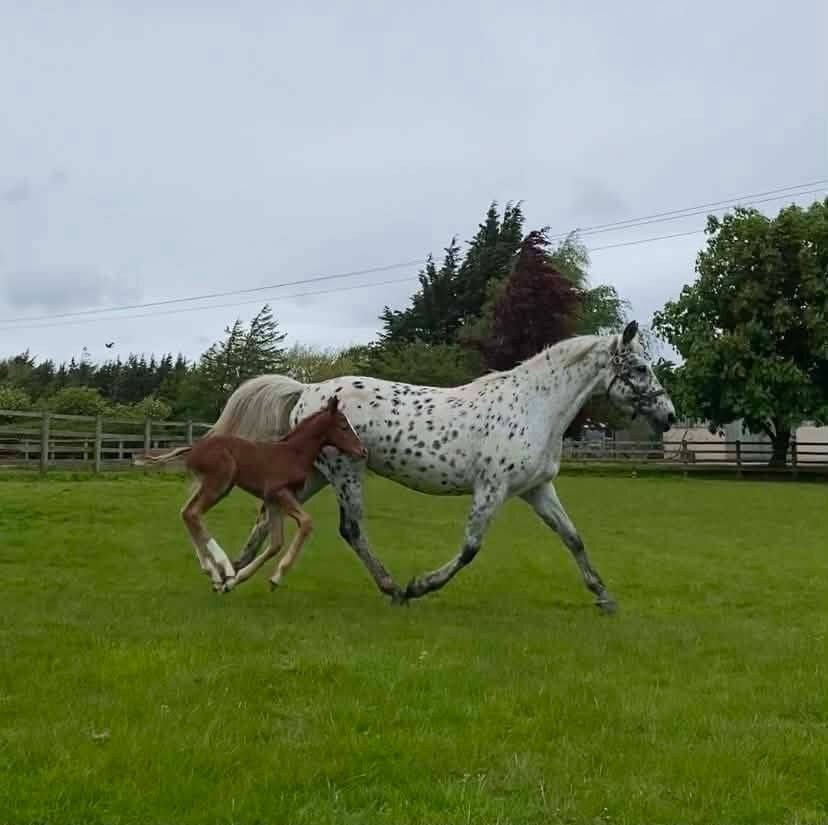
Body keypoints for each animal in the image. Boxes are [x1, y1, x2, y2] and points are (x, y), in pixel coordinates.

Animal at [135, 396, 366, 591]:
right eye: (343, 426)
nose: (362, 451)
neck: (293, 453)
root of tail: (193, 449)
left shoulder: (273, 501)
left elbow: (276, 543)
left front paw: (237, 581)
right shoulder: (279, 492)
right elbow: (306, 523)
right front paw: (275, 578)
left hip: (218, 487)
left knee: (186, 513)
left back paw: (214, 575)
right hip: (219, 483)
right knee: (193, 513)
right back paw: (224, 569)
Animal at [207, 320, 675, 611]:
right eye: (639, 367)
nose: (669, 416)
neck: (533, 407)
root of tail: (307, 390)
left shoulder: (536, 489)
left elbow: (573, 538)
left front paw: (603, 596)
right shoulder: (492, 489)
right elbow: (470, 548)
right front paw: (421, 586)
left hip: (318, 475)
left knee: (265, 517)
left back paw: (227, 576)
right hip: (344, 471)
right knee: (350, 529)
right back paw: (393, 589)